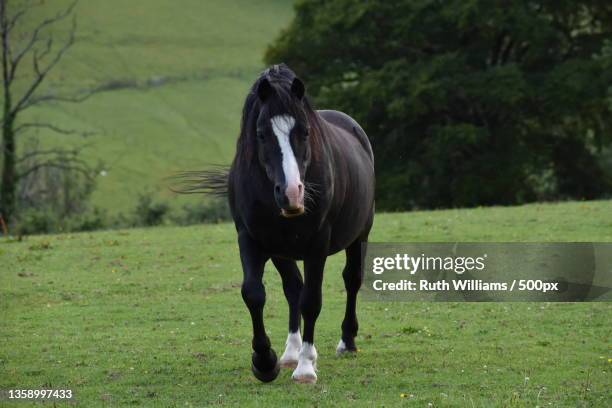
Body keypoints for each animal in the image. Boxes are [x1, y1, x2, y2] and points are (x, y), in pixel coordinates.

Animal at [189, 63, 376, 382]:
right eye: (261, 134)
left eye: (305, 131)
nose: (291, 193)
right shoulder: (251, 239)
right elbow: (254, 293)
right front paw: (265, 362)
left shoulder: (317, 245)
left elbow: (311, 301)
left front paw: (306, 367)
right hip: (282, 250)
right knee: (293, 288)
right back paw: (290, 352)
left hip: (359, 235)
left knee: (351, 280)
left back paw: (345, 341)